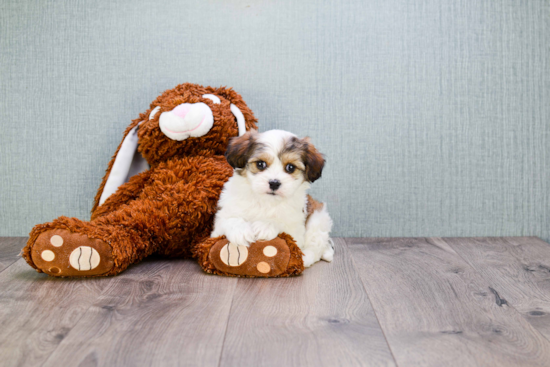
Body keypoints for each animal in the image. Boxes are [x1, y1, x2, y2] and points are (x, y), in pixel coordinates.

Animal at [211, 129, 334, 268]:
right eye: (260, 164)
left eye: (290, 167)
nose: (274, 183)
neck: (265, 201)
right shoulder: (218, 226)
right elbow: (229, 220)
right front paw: (240, 230)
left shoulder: (296, 230)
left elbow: (283, 225)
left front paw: (266, 225)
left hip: (318, 220)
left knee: (316, 246)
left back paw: (306, 257)